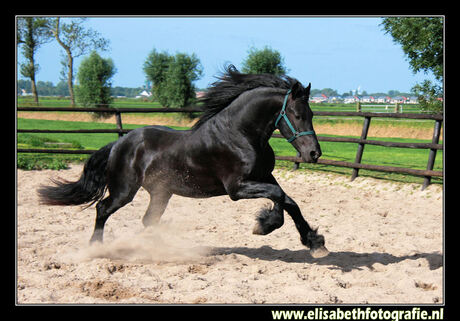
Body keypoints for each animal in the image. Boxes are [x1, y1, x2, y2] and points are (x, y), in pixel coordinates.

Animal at [37, 65, 328, 258]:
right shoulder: (236, 188)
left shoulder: (264, 176)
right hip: (124, 191)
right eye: (298, 114)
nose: (314, 154)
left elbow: (288, 200)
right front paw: (264, 225)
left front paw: (315, 242)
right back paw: (97, 249)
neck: (240, 134)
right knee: (102, 209)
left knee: (147, 220)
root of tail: (118, 144)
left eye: (312, 113)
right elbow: (278, 197)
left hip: (161, 193)